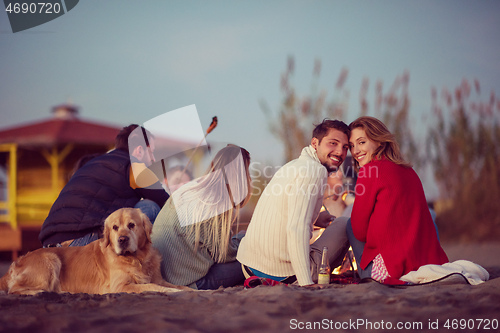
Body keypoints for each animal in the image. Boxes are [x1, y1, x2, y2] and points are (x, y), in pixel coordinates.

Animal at [1, 208, 191, 294]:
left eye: (131, 225)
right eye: (115, 228)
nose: (122, 240)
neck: (138, 259)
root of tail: (14, 264)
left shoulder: (159, 278)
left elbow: (178, 285)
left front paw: (192, 291)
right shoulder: (120, 285)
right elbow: (152, 286)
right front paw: (175, 292)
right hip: (51, 258)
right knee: (14, 289)